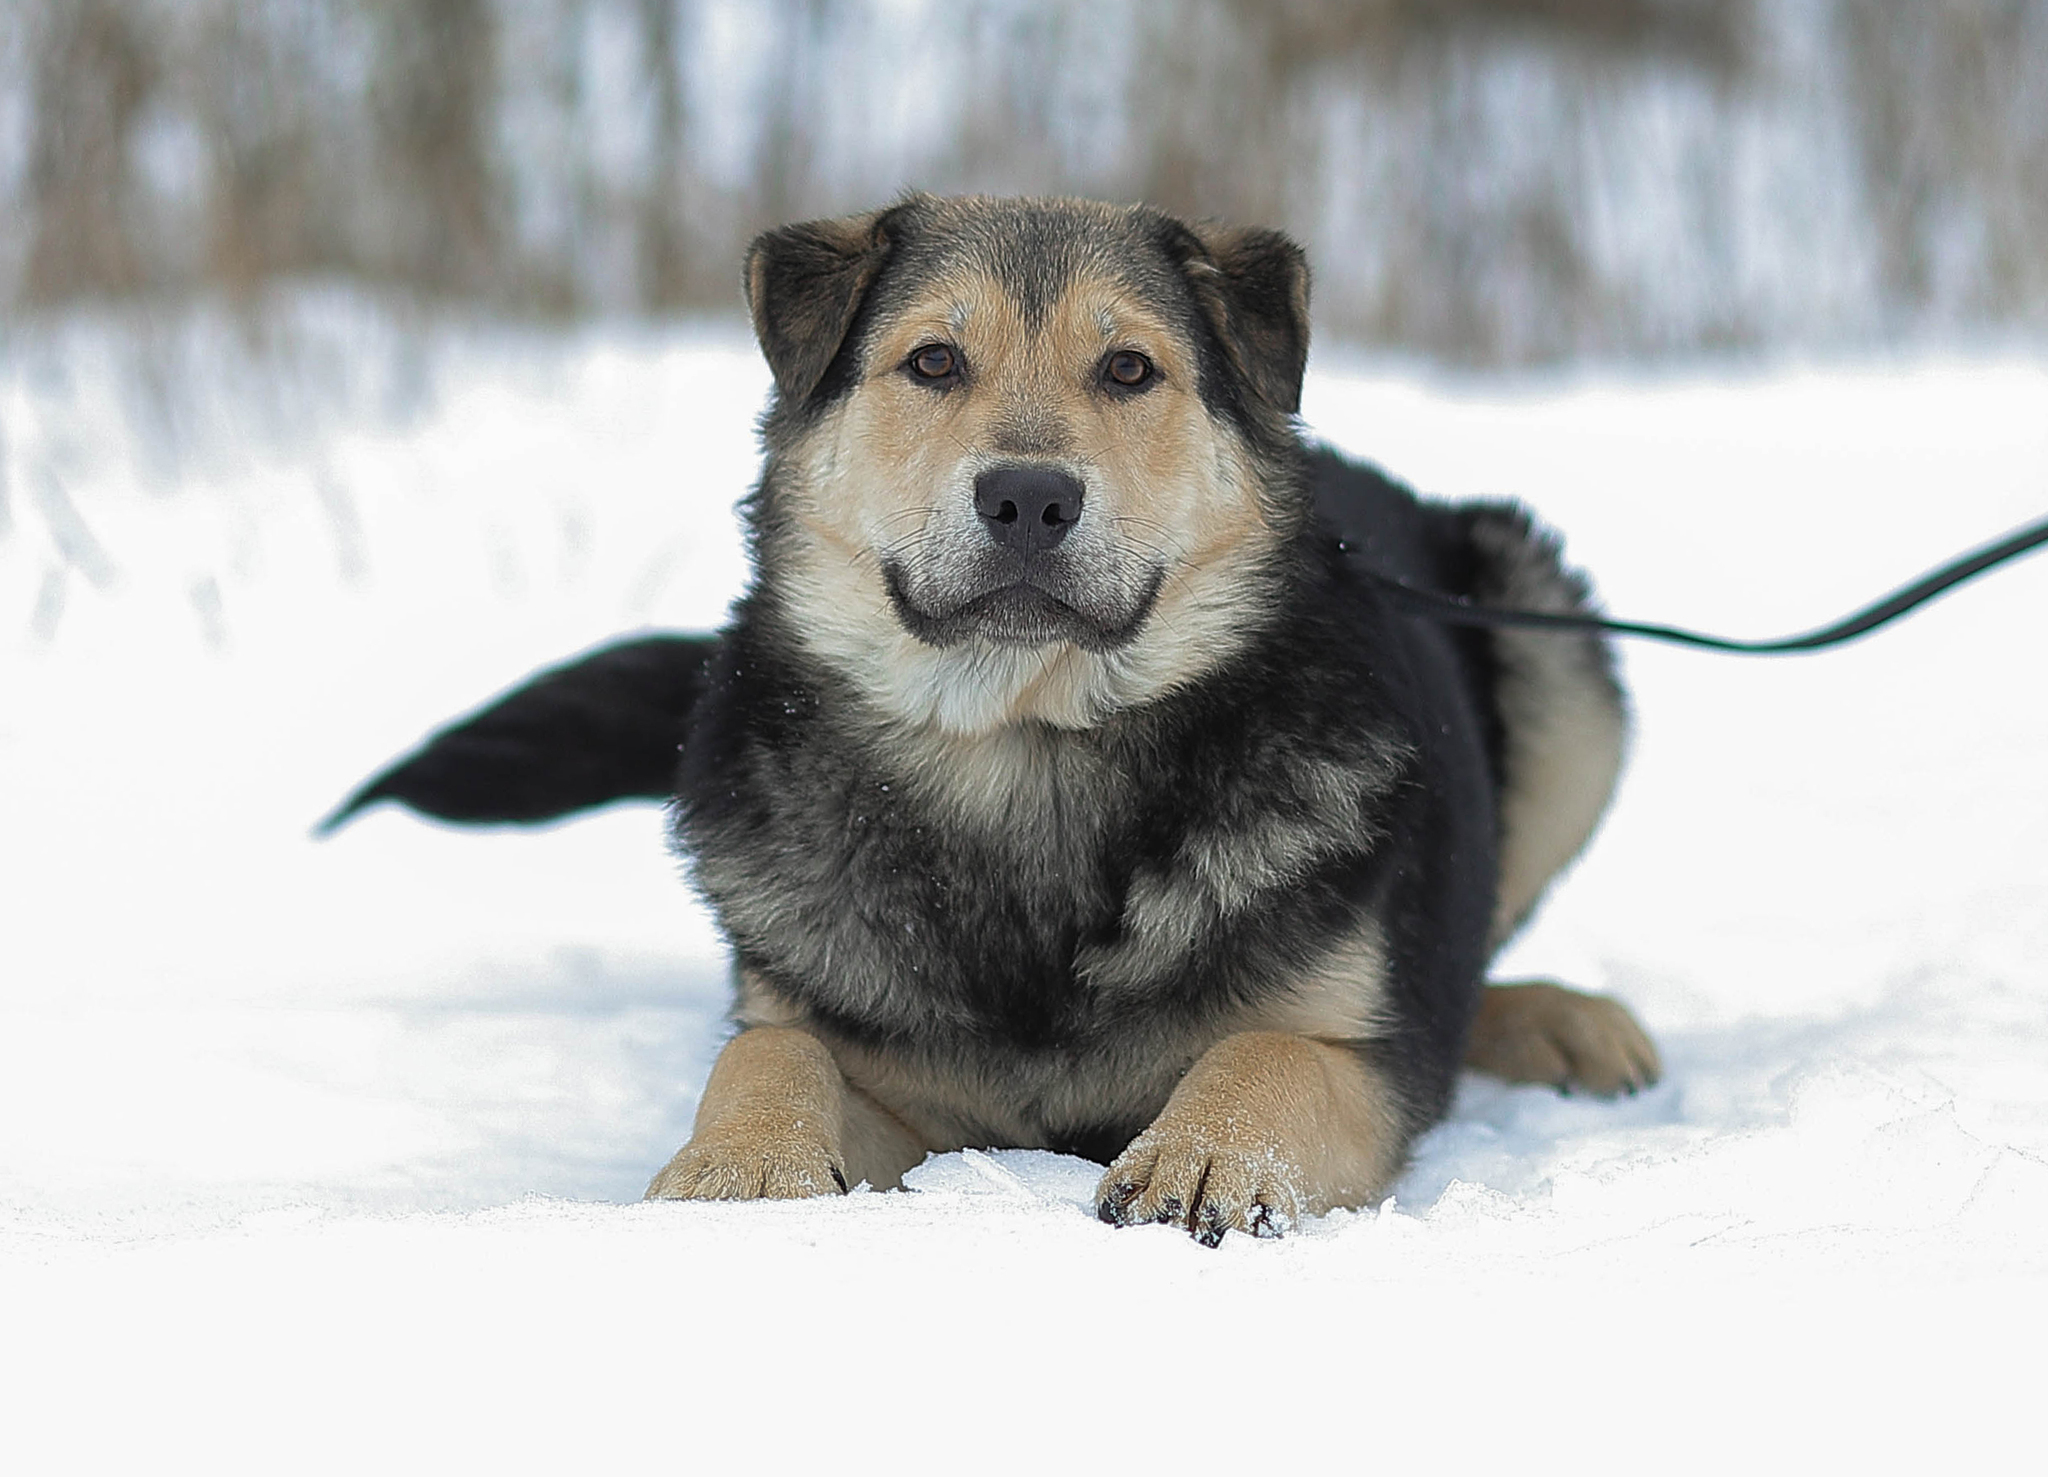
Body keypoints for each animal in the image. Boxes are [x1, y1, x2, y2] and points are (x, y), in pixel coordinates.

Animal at [323, 190, 1662, 1237]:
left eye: (1127, 369)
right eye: (931, 363)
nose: (1026, 497)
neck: (1025, 743)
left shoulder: (1362, 1058)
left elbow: (1271, 1048)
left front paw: (1205, 1149)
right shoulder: (882, 1074)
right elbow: (767, 1046)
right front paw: (742, 1162)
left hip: (1550, 640)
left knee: (1470, 962)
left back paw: (1563, 1023)